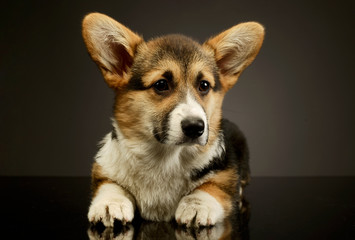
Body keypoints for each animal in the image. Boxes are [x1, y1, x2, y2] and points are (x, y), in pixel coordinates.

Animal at [81, 12, 264, 228]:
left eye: (204, 85)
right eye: (161, 85)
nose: (195, 127)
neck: (164, 158)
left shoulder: (224, 173)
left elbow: (211, 186)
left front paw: (197, 205)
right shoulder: (104, 170)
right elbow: (111, 185)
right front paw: (110, 204)